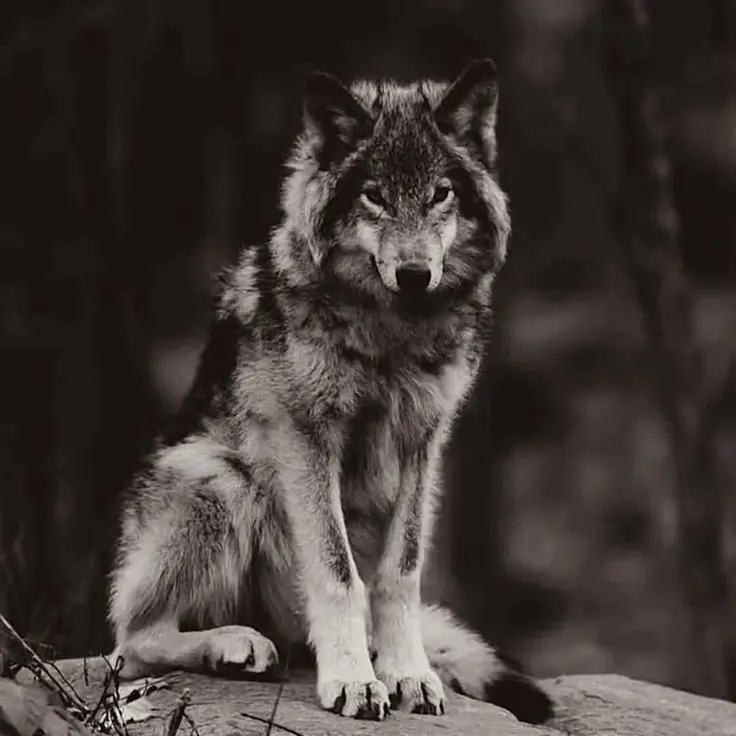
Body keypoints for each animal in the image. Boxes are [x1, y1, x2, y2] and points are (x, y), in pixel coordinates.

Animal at [108, 59, 554, 724]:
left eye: (440, 193)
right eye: (374, 194)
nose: (416, 274)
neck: (391, 332)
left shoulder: (424, 444)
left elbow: (400, 573)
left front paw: (406, 672)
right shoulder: (306, 438)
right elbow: (338, 571)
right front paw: (353, 681)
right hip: (220, 477)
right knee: (130, 644)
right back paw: (235, 644)